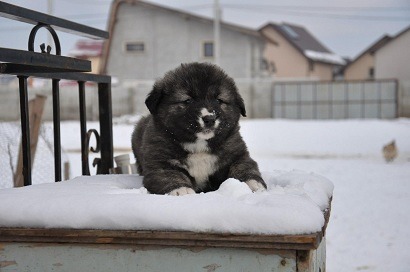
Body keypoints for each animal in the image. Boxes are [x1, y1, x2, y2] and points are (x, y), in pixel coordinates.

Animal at [131, 63, 266, 196]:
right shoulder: (161, 163)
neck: (199, 146)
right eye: (188, 100)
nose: (210, 118)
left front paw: (253, 184)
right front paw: (182, 190)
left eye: (219, 100)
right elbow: (171, 176)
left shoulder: (237, 155)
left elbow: (243, 167)